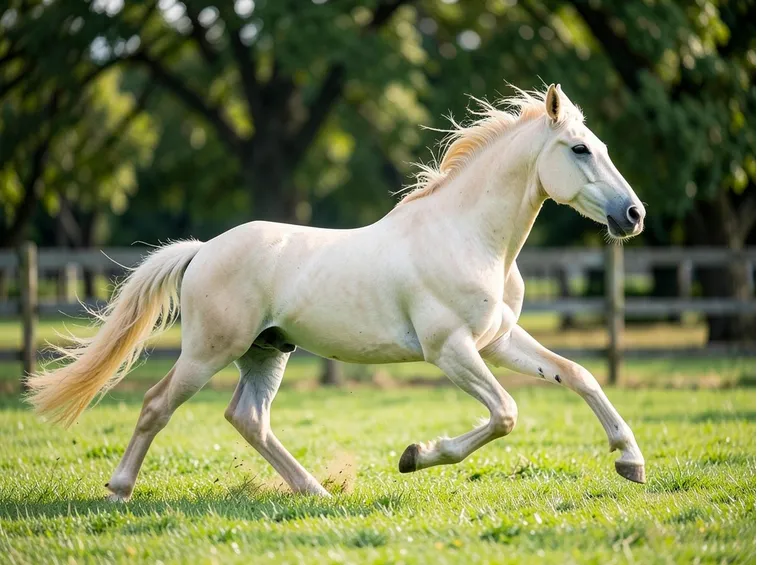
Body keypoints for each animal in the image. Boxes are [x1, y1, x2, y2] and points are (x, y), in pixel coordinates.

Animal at [27, 84, 647, 501]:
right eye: (580, 150)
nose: (633, 215)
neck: (468, 237)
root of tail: (202, 251)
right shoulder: (450, 349)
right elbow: (506, 414)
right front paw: (415, 456)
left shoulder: (497, 341)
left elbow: (578, 375)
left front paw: (631, 462)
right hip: (209, 351)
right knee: (158, 406)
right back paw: (118, 489)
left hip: (267, 352)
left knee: (248, 419)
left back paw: (314, 492)